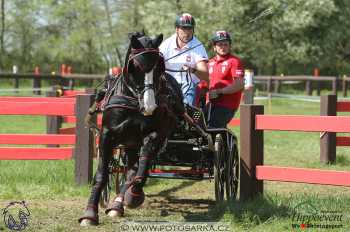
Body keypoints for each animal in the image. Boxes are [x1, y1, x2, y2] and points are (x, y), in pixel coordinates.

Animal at [78, 31, 185, 226]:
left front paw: (134, 196)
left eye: (159, 68)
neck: (134, 101)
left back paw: (121, 202)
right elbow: (102, 174)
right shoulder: (107, 136)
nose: (149, 106)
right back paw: (116, 205)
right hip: (129, 144)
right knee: (129, 169)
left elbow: (141, 171)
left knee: (134, 170)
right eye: (135, 66)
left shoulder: (154, 135)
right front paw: (89, 214)